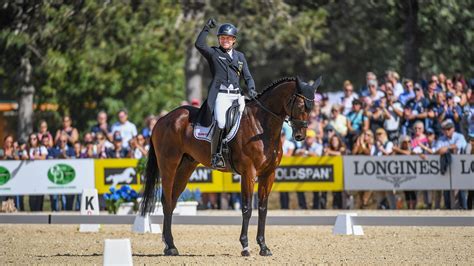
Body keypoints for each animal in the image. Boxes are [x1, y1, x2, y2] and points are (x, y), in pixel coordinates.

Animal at [139, 76, 320, 256]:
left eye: (312, 108)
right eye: (300, 105)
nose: (300, 136)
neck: (261, 126)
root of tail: (162, 119)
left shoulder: (268, 174)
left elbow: (263, 208)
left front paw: (263, 247)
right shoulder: (248, 173)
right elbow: (247, 208)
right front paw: (245, 246)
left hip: (185, 167)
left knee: (172, 201)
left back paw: (170, 245)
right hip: (169, 165)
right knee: (166, 200)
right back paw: (170, 246)